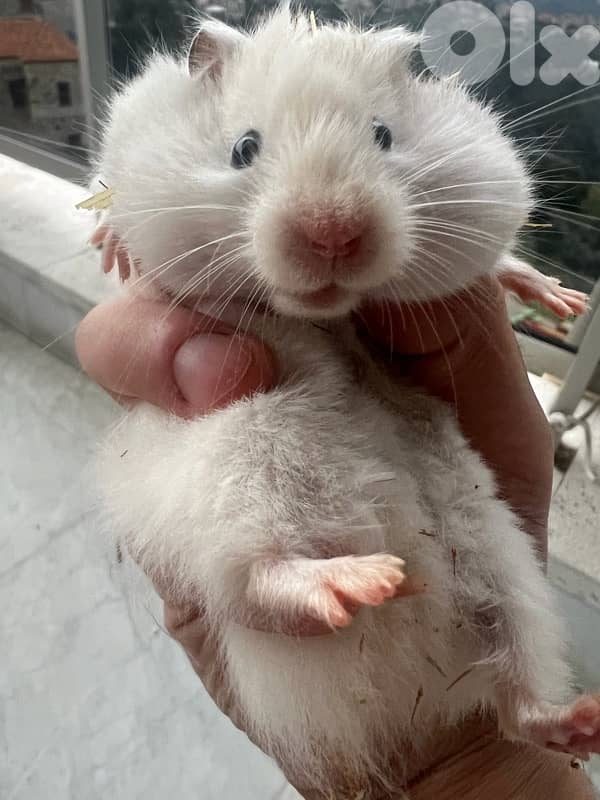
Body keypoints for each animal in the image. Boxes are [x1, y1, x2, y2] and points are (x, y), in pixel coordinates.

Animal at [93, 8, 598, 798]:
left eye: (384, 136)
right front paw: (110, 245)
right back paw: (358, 581)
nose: (333, 232)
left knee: (516, 699)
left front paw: (557, 297)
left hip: (504, 567)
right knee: (259, 580)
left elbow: (500, 261)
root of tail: (399, 692)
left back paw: (578, 719)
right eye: (244, 148)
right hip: (237, 481)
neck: (329, 317)